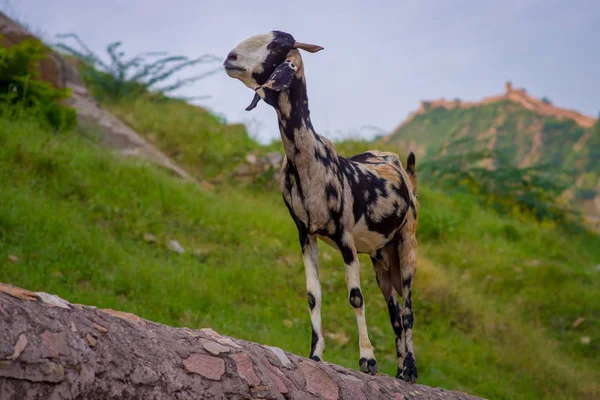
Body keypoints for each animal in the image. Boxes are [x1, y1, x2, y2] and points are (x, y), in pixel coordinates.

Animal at [224, 30, 418, 382]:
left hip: (407, 241)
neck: (310, 161)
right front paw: (315, 354)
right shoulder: (305, 233)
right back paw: (398, 371)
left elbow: (355, 297)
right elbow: (313, 295)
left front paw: (367, 360)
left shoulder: (345, 237)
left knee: (408, 309)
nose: (230, 58)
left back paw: (410, 369)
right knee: (395, 312)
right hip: (381, 256)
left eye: (276, 45)